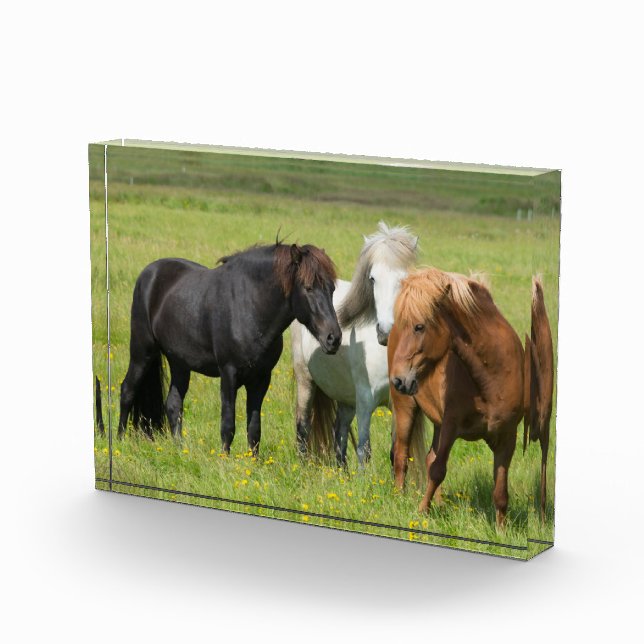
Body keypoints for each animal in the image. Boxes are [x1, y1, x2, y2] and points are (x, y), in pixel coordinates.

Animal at [117, 242, 341, 456]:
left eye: (332, 289)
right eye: (308, 288)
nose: (334, 338)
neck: (249, 308)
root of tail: (149, 273)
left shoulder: (261, 379)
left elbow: (254, 428)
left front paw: (253, 462)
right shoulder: (228, 373)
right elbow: (228, 424)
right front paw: (225, 459)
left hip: (179, 362)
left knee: (173, 404)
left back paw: (180, 449)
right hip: (142, 351)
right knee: (127, 390)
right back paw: (120, 442)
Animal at [291, 222, 418, 465]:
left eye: (405, 279)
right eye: (372, 278)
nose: (385, 332)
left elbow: (394, 453)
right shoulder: (365, 402)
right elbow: (364, 450)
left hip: (346, 399)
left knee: (338, 432)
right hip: (306, 381)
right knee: (303, 427)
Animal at [388, 267, 524, 526]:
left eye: (419, 327)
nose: (398, 380)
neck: (491, 378)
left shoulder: (507, 437)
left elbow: (501, 490)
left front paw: (501, 530)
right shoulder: (451, 425)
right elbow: (438, 469)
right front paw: (421, 513)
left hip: (437, 422)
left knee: (428, 457)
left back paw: (440, 504)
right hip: (405, 408)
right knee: (401, 455)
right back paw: (398, 498)